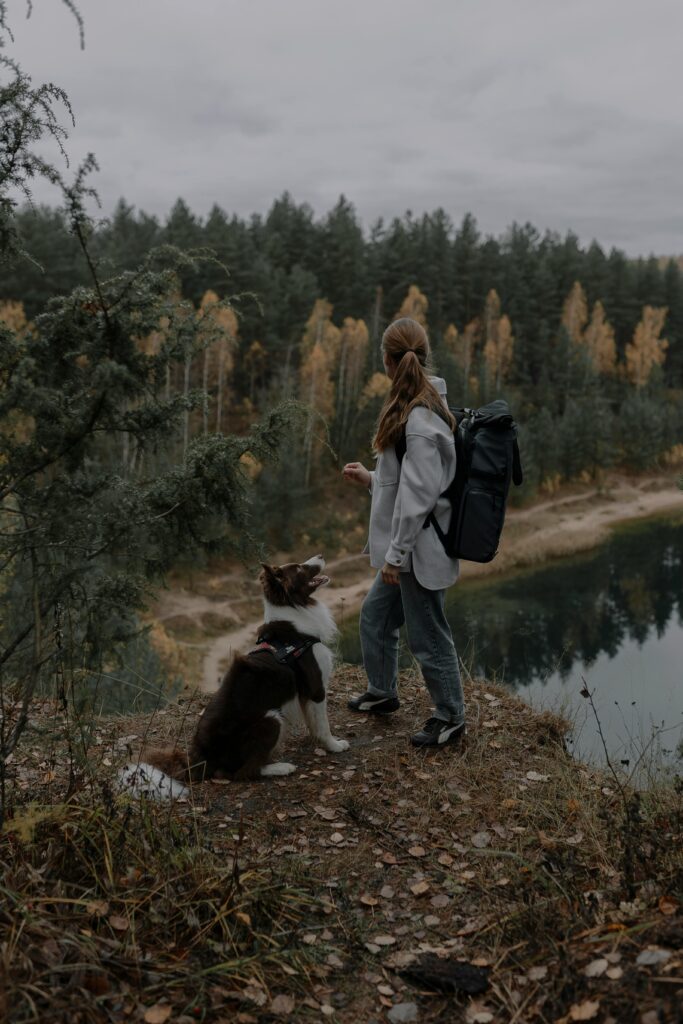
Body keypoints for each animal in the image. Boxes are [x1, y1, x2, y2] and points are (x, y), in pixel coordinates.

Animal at [118, 557, 350, 794]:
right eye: (300, 568)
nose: (321, 555)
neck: (294, 620)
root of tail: (201, 761)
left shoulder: (305, 694)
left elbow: (314, 722)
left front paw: (318, 742)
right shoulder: (316, 688)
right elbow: (324, 723)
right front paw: (334, 745)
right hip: (271, 718)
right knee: (244, 772)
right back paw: (281, 767)